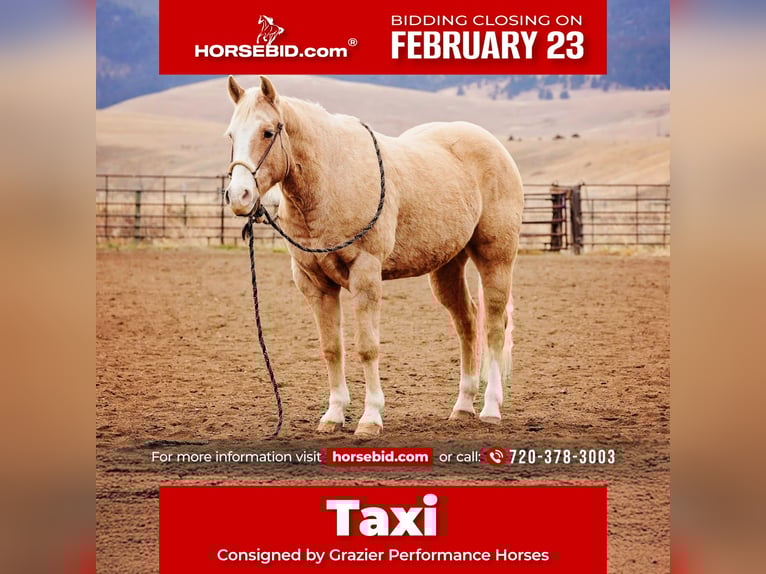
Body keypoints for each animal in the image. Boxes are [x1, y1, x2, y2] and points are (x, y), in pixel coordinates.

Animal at [224, 76, 523, 437]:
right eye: (231, 135)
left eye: (268, 132)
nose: (239, 196)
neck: (330, 181)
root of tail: (494, 147)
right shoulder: (315, 284)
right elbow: (331, 348)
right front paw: (334, 414)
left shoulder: (365, 275)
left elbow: (367, 348)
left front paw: (370, 417)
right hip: (448, 267)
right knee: (467, 323)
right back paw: (463, 406)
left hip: (495, 258)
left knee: (493, 326)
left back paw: (491, 407)